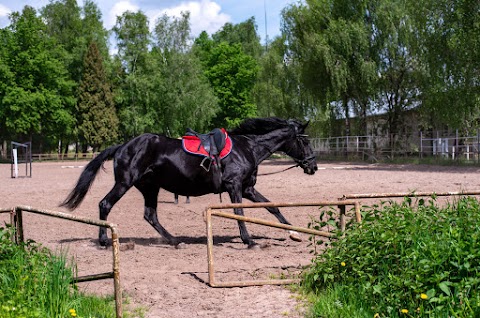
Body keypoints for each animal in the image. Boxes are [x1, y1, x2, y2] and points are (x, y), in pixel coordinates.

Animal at [60, 117, 316, 248]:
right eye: (305, 141)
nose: (313, 166)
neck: (249, 148)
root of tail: (123, 146)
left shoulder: (248, 188)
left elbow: (273, 207)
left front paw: (294, 231)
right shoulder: (234, 186)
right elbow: (239, 212)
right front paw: (249, 241)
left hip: (150, 187)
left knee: (150, 215)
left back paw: (175, 241)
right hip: (125, 183)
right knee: (105, 205)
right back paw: (104, 240)